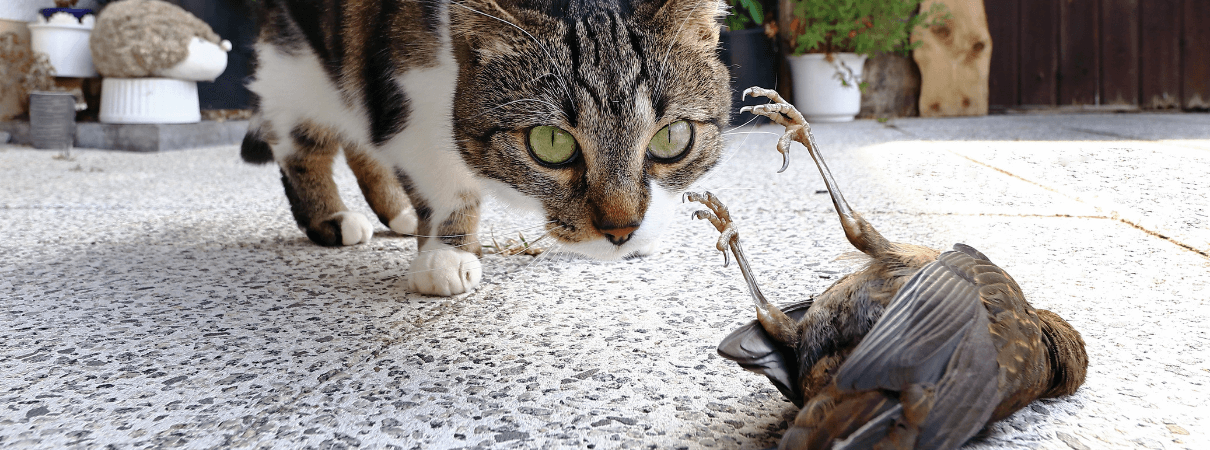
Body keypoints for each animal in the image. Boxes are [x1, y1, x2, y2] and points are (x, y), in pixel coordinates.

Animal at [237, 0, 726, 297]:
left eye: (671, 138)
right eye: (551, 143)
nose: (622, 231)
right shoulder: (407, 85)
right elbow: (444, 180)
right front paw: (446, 256)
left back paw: (398, 213)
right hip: (298, 69)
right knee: (305, 147)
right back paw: (332, 219)